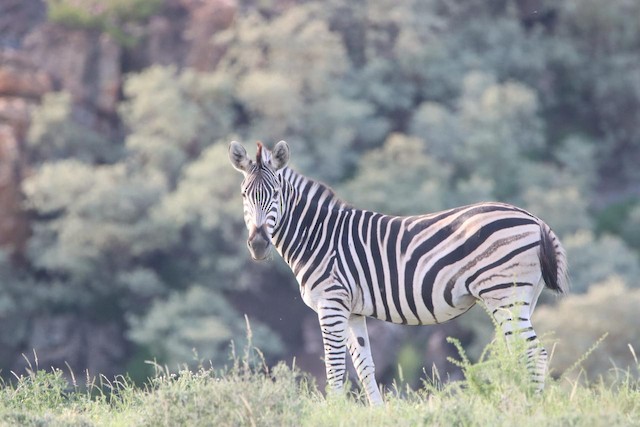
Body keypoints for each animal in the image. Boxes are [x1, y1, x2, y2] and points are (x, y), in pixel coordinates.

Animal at [228, 140, 568, 405]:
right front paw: (376, 414)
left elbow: (335, 368)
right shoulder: (352, 311)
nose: (258, 244)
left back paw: (528, 406)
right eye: (244, 195)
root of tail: (535, 219)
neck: (317, 236)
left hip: (504, 294)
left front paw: (332, 412)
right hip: (520, 297)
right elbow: (365, 366)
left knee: (532, 353)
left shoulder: (331, 304)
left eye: (275, 194)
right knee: (521, 353)